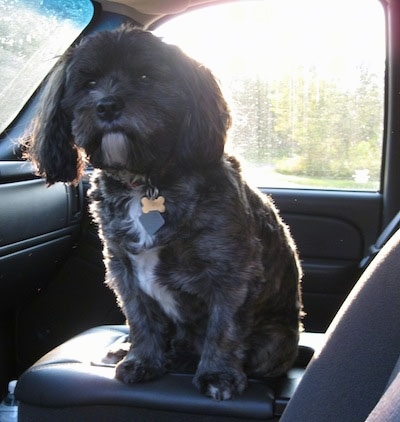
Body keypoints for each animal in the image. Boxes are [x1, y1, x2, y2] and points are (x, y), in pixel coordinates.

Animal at [26, 24, 302, 400]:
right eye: (89, 82)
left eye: (145, 77)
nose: (107, 105)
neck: (145, 181)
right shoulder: (122, 268)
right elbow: (140, 318)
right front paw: (142, 359)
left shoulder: (234, 271)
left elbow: (225, 326)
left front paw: (218, 374)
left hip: (273, 343)